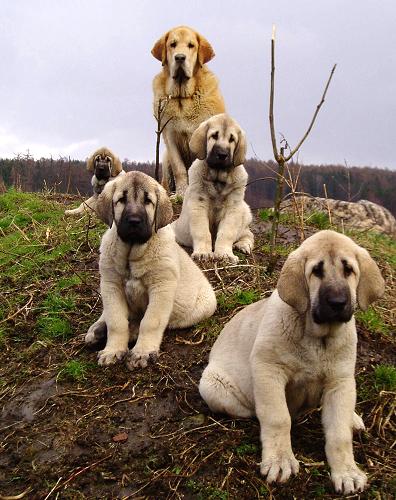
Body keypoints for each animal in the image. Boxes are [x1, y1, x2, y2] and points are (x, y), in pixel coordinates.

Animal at [84, 171, 218, 368]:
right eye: (121, 200)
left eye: (148, 201)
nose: (134, 221)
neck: (131, 252)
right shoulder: (111, 285)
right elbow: (116, 320)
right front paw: (113, 350)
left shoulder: (161, 288)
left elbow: (150, 322)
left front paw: (142, 352)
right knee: (109, 315)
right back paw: (98, 330)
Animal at [172, 113, 254, 262]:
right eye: (214, 136)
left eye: (232, 139)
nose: (222, 155)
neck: (218, 178)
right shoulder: (198, 203)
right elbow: (202, 231)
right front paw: (203, 253)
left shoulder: (233, 207)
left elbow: (226, 233)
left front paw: (224, 254)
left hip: (244, 212)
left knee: (248, 234)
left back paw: (243, 245)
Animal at [200, 231, 386, 496]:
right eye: (316, 271)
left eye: (349, 269)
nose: (338, 302)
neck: (319, 339)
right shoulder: (268, 369)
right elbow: (278, 417)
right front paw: (280, 460)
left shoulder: (340, 381)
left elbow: (339, 434)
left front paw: (347, 472)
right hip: (212, 385)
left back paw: (353, 418)